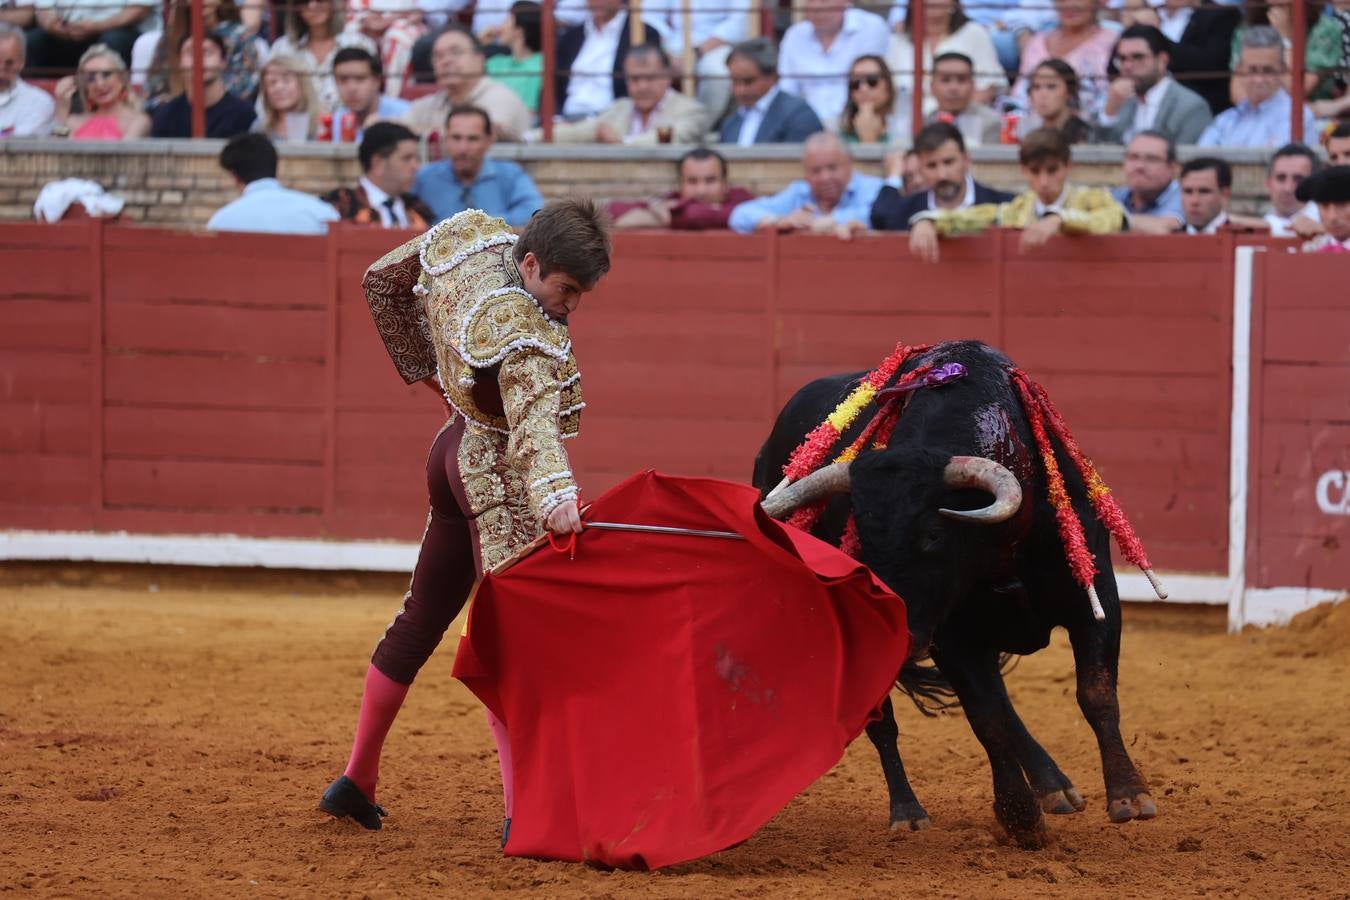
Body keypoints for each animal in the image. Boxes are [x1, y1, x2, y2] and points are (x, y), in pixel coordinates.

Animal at [756, 341, 1155, 847]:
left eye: (932, 535)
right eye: (860, 539)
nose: (901, 634)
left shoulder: (1095, 598)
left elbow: (1095, 694)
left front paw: (1129, 795)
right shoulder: (950, 635)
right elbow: (986, 718)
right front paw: (1019, 817)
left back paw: (1053, 786)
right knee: (888, 720)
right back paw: (908, 810)